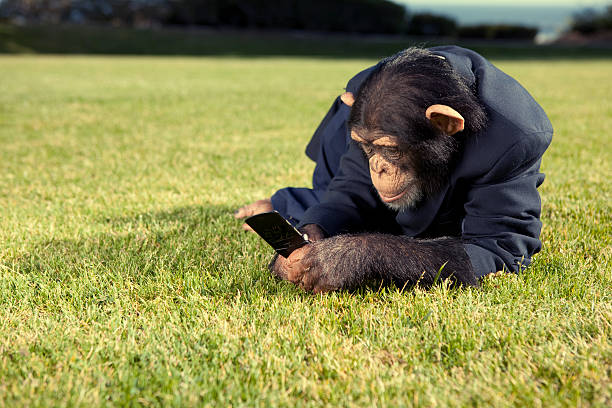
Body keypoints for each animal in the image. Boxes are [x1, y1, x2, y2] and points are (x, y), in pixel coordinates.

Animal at [235, 45, 556, 294]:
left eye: (389, 149)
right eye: (367, 148)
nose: (378, 167)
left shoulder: (514, 152)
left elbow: (491, 245)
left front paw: (338, 259)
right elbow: (348, 192)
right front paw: (299, 243)